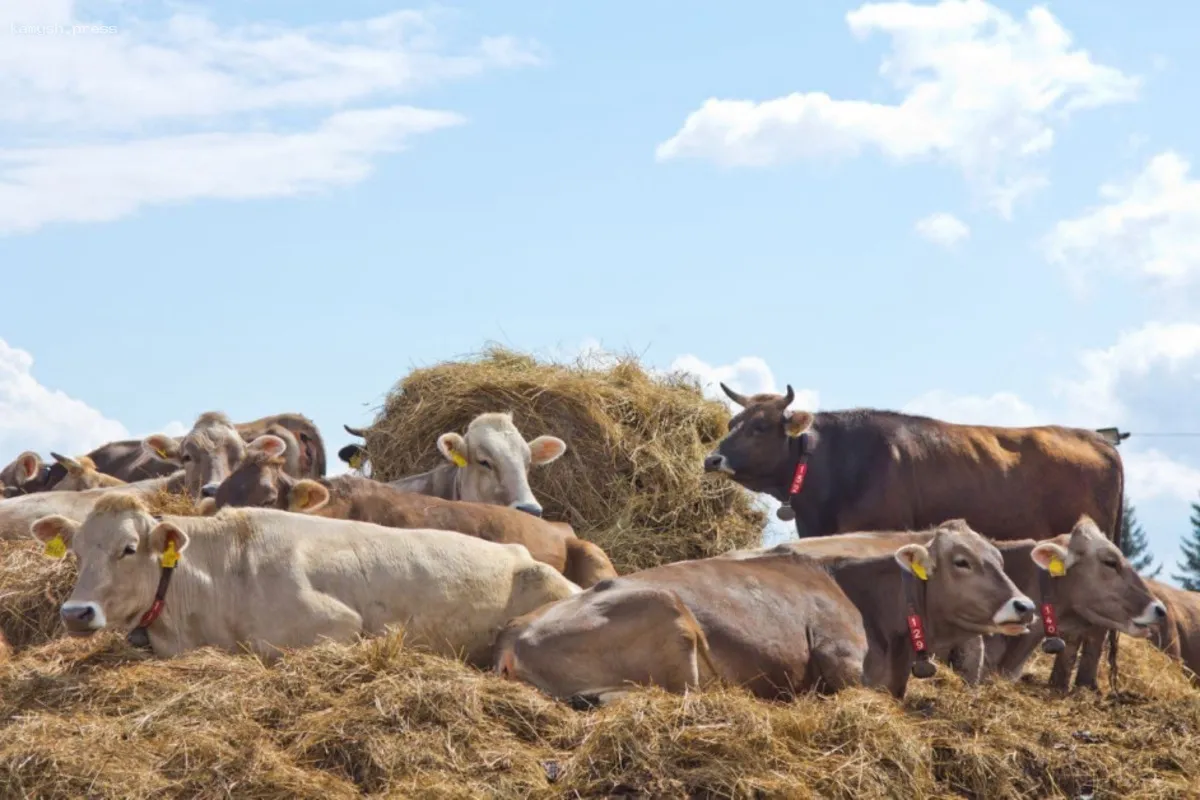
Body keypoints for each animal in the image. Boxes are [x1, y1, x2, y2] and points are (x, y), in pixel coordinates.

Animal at [492, 520, 1036, 700]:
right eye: (962, 561)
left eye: (997, 557)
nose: (1025, 604)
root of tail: (513, 633)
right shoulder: (839, 657)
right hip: (671, 615)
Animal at [700, 383, 1123, 690]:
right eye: (732, 423)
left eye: (759, 427)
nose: (711, 459)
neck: (838, 462)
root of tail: (1098, 441)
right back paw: (1062, 682)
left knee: (1097, 624)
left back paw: (1081, 684)